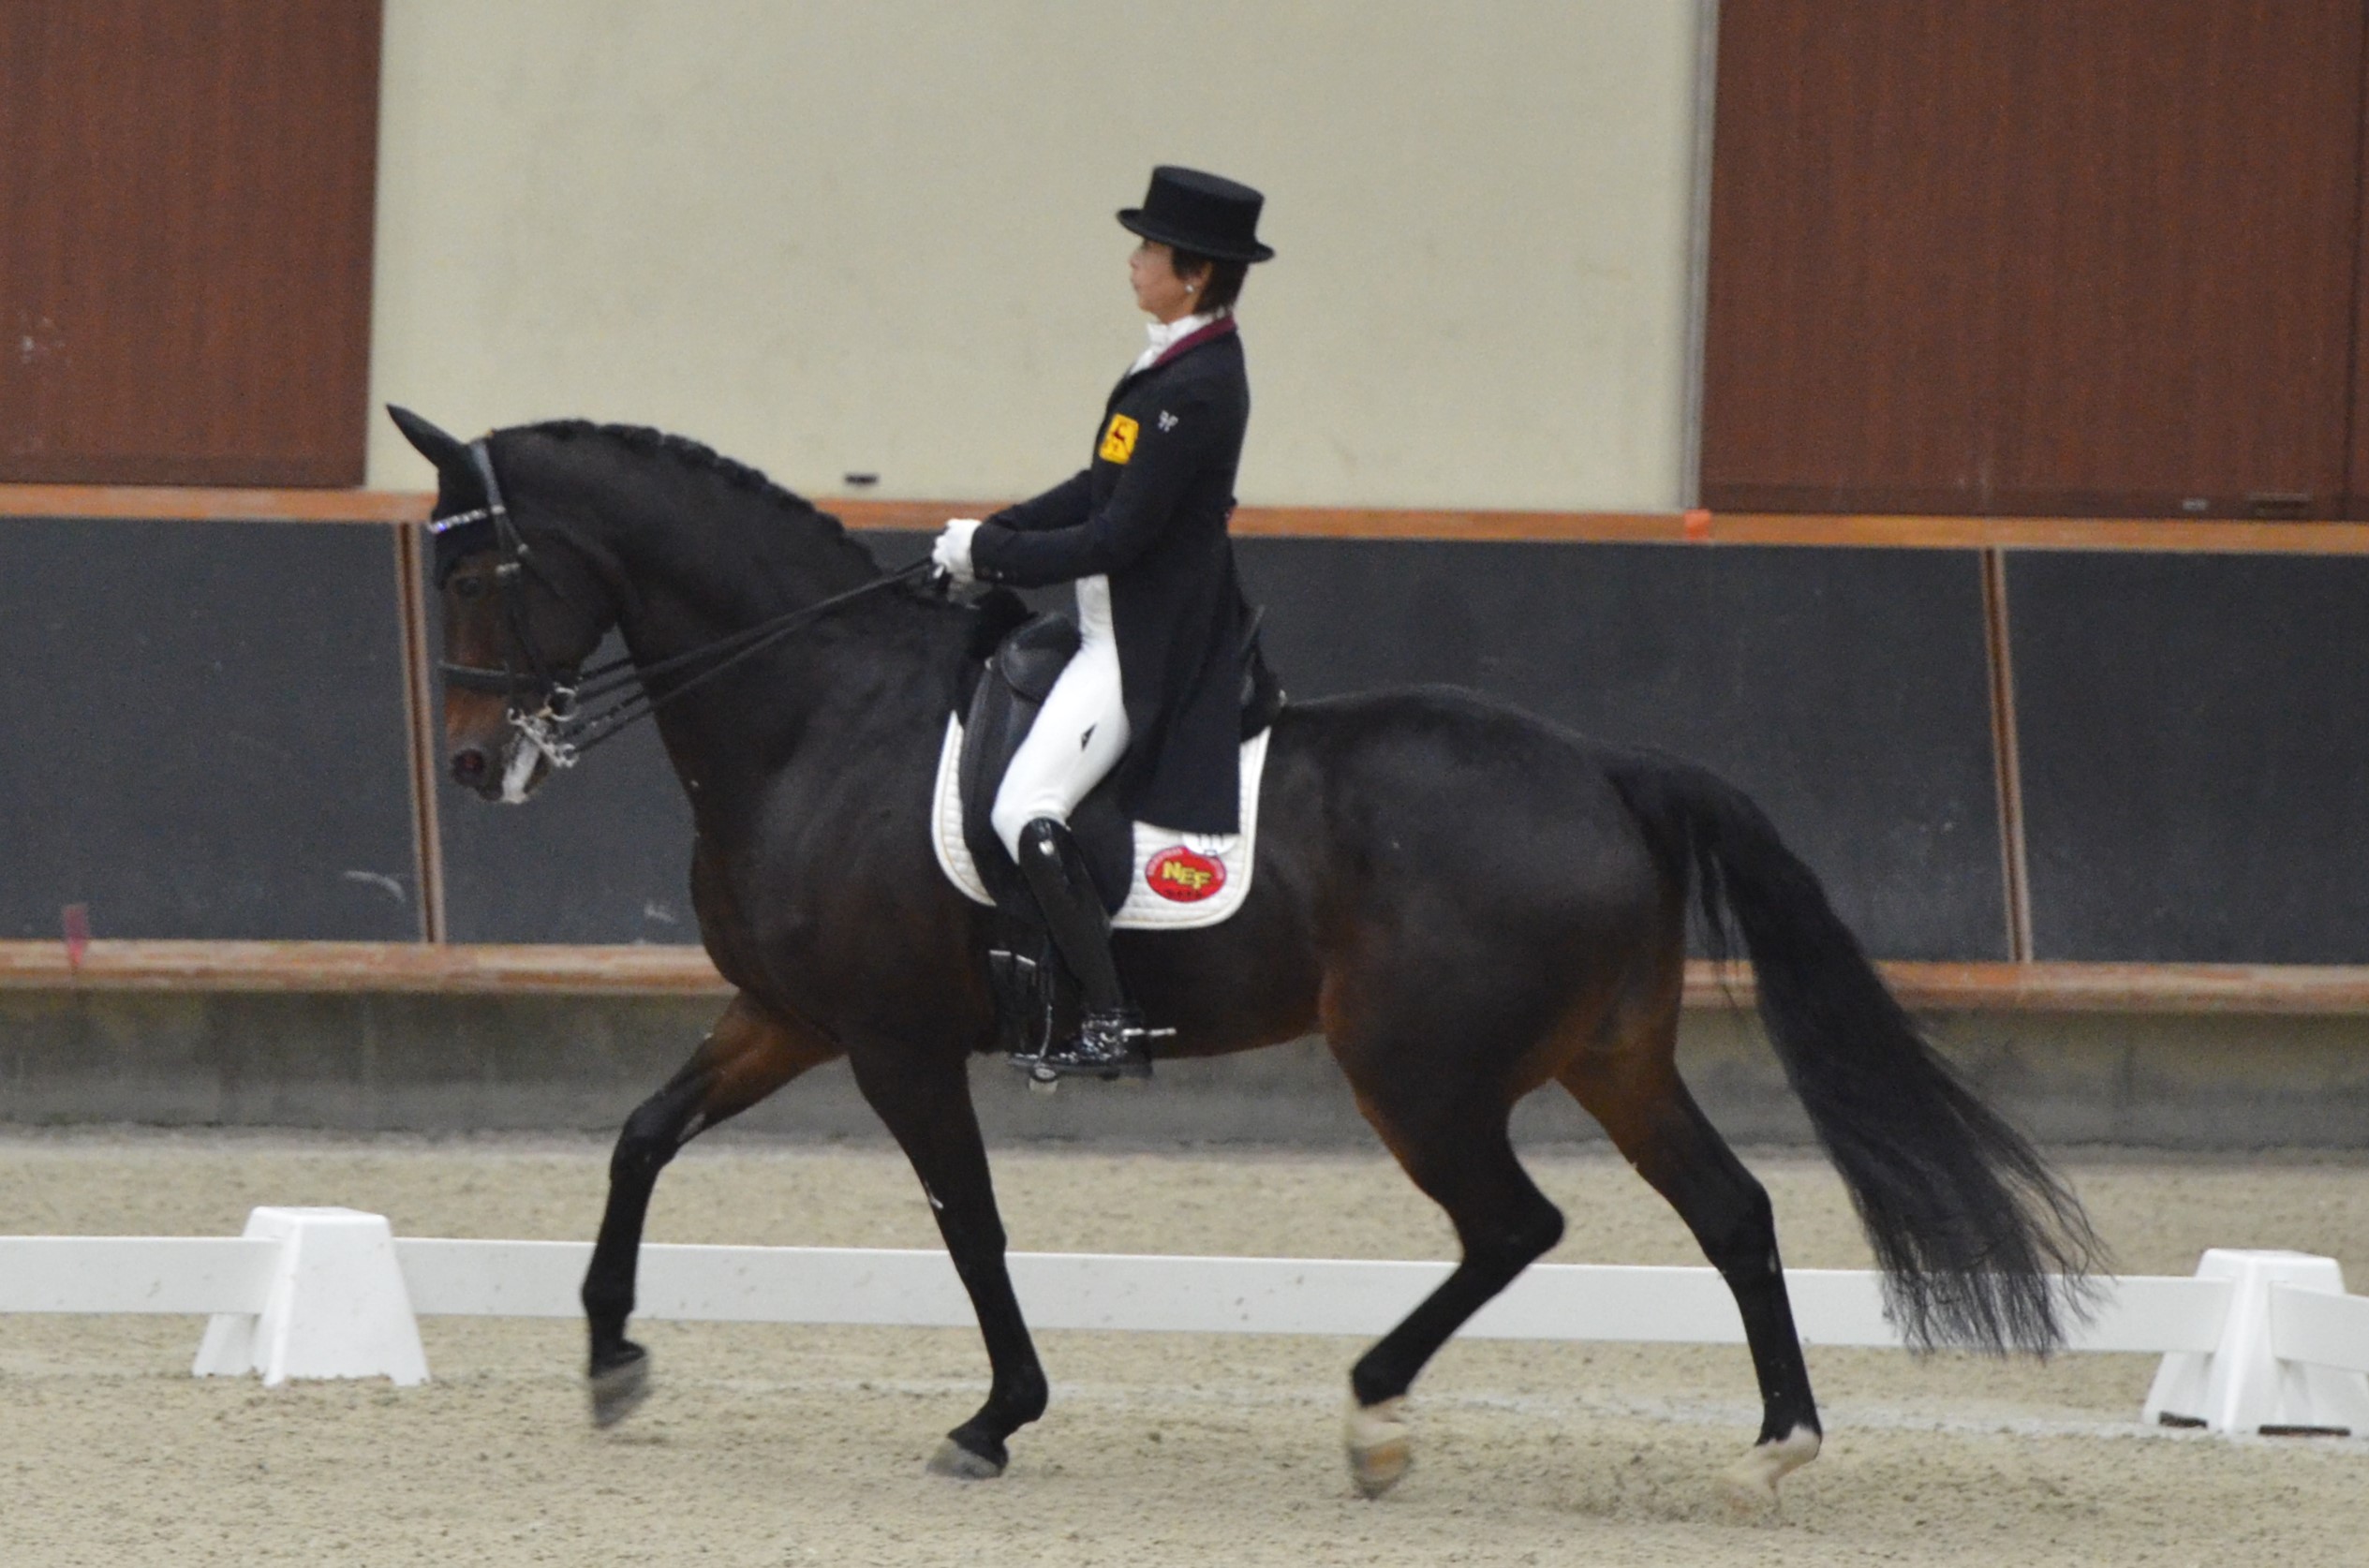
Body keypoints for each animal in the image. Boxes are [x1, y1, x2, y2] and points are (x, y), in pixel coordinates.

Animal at [392, 407, 2112, 1516]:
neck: (820, 712)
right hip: (1608, 1053)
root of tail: (1604, 767)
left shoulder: (890, 1040)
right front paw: (610, 1355)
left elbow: (971, 1226)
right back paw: (1775, 1439)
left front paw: (993, 1417)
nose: (473, 763)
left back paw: (1373, 1420)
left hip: (1416, 1068)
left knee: (1516, 1222)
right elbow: (642, 1136)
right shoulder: (787, 1014)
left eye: (479, 572)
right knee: (1731, 1210)